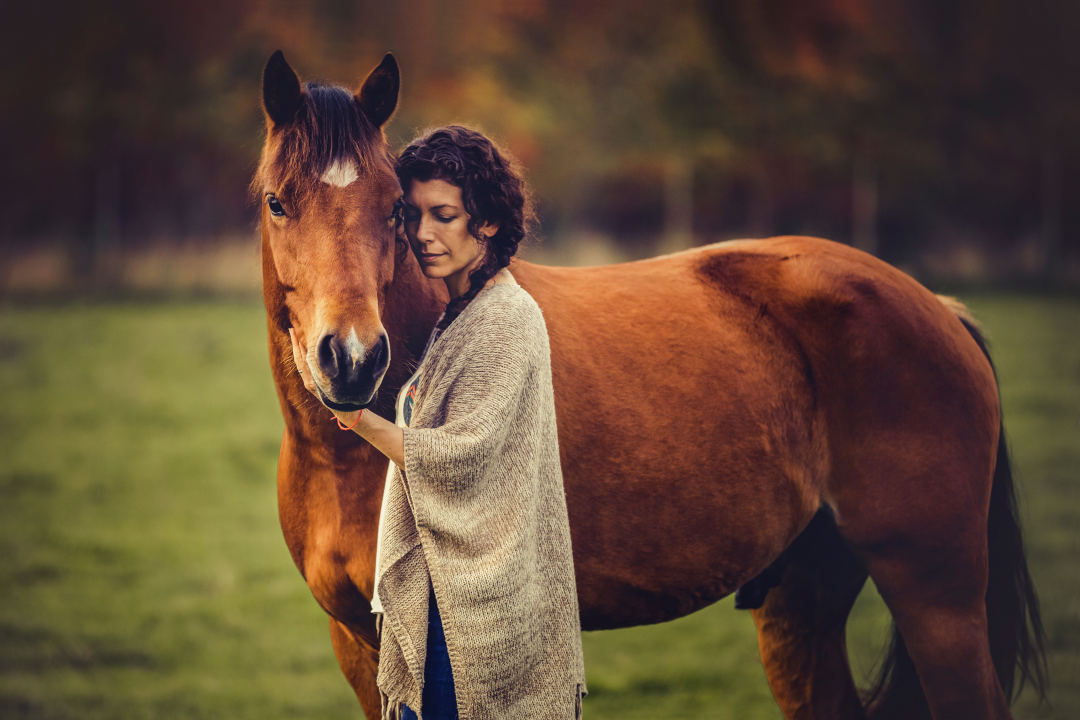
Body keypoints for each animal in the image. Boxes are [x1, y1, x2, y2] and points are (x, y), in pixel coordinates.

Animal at [252, 52, 1045, 720]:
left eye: (395, 207)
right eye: (277, 202)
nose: (352, 359)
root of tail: (933, 304)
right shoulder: (362, 647)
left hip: (938, 599)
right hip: (802, 601)